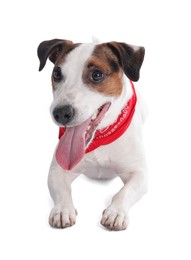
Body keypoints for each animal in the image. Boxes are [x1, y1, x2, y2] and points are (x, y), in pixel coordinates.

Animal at [37, 38, 148, 230]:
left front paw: (115, 212)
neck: (100, 137)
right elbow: (62, 189)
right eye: (57, 74)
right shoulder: (57, 170)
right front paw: (62, 210)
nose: (61, 113)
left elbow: (125, 191)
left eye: (97, 74)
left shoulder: (139, 172)